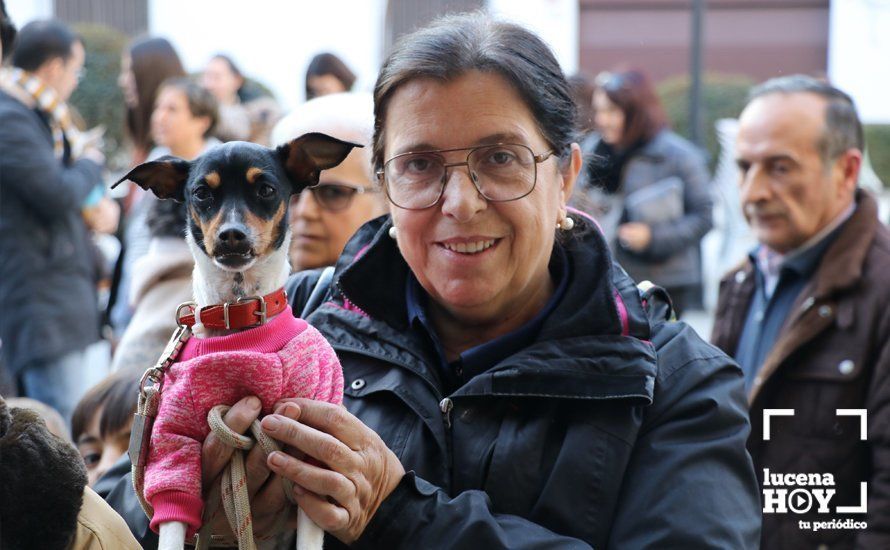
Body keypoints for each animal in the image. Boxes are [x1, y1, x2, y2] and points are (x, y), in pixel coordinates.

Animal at [114, 135, 358, 550]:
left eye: (266, 190)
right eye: (201, 193)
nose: (231, 234)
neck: (238, 315)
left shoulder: (313, 448)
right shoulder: (173, 436)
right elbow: (173, 509)